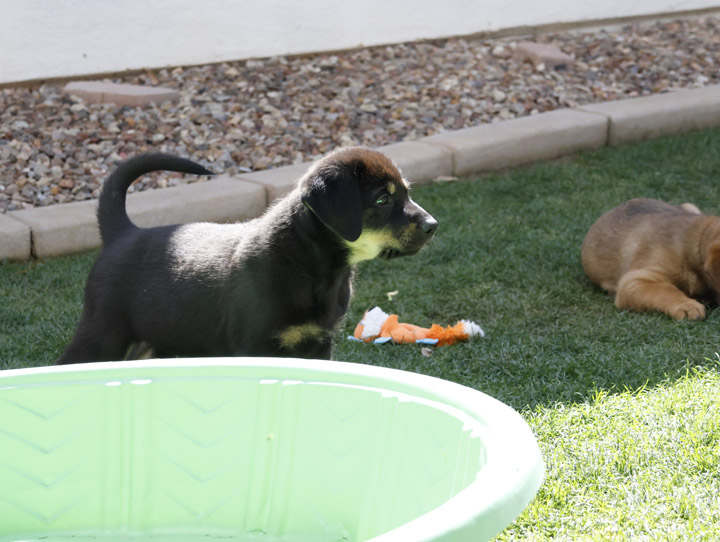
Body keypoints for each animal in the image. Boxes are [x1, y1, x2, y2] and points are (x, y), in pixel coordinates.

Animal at [56, 147, 436, 364]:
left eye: (406, 193)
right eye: (383, 199)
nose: (433, 225)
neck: (316, 268)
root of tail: (123, 232)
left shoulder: (318, 345)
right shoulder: (255, 345)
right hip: (103, 332)